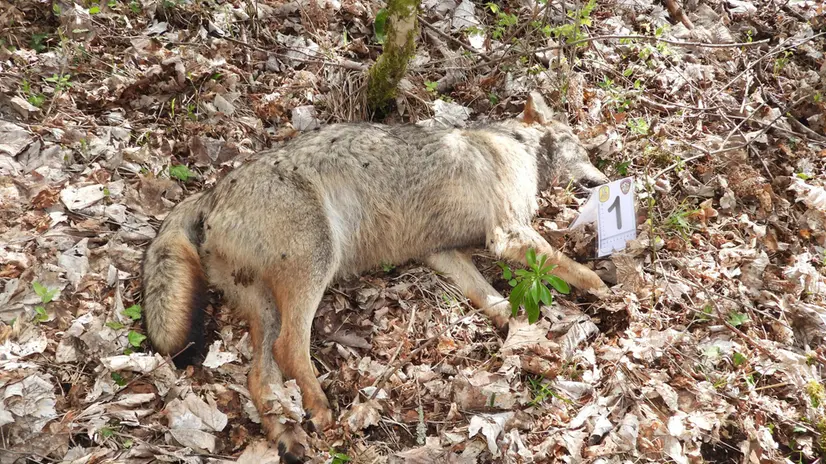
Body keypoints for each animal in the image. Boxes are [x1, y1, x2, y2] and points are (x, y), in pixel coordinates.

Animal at [142, 91, 610, 461]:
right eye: (584, 150)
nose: (606, 180)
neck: (516, 146)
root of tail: (211, 191)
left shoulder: (442, 253)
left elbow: (492, 298)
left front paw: (520, 333)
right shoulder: (508, 234)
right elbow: (571, 267)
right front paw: (608, 291)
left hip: (269, 303)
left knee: (261, 376)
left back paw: (289, 437)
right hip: (317, 264)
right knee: (289, 347)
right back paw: (319, 409)